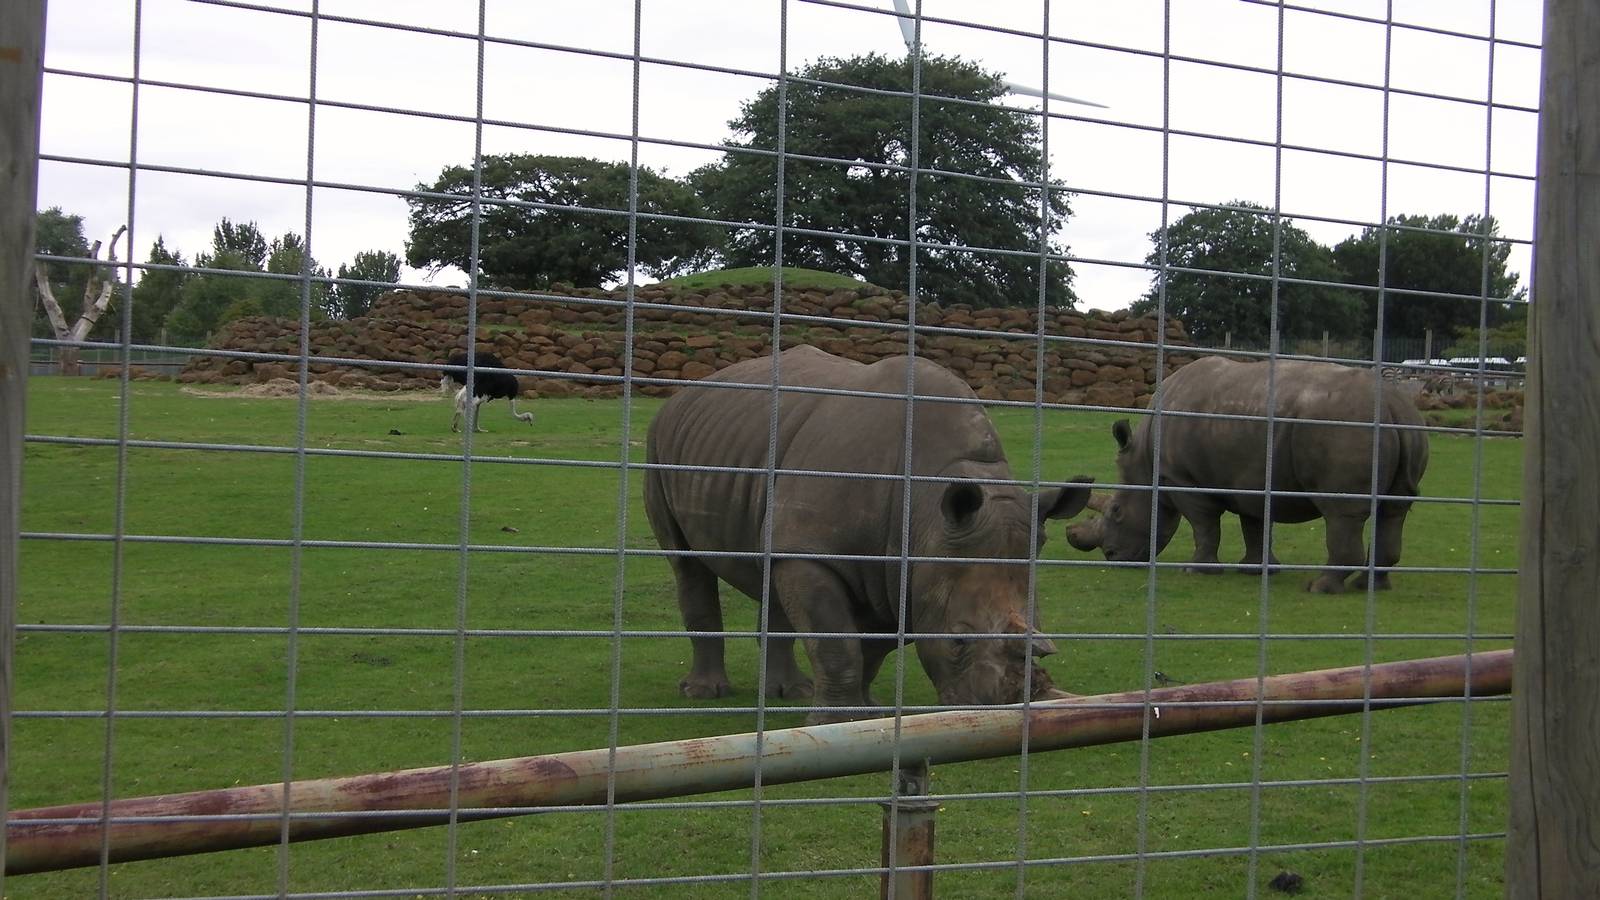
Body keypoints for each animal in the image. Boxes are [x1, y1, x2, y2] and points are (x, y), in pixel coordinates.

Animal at [644, 346, 1093, 724]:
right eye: (957, 640)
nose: (1007, 708)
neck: (925, 509)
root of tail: (684, 393)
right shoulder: (819, 550)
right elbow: (836, 641)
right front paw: (836, 723)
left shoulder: (898, 572)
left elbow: (872, 647)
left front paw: (868, 713)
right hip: (658, 441)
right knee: (687, 564)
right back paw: (705, 693)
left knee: (773, 564)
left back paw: (790, 692)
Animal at [1065, 356, 1429, 594]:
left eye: (1116, 511)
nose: (1113, 558)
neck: (1146, 462)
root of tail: (1393, 406)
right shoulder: (1251, 480)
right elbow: (1254, 526)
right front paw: (1255, 570)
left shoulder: (1183, 481)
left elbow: (1205, 527)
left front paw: (1195, 571)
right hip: (1409, 427)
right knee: (1393, 510)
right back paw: (1371, 587)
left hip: (1343, 427)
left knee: (1341, 512)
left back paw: (1319, 587)